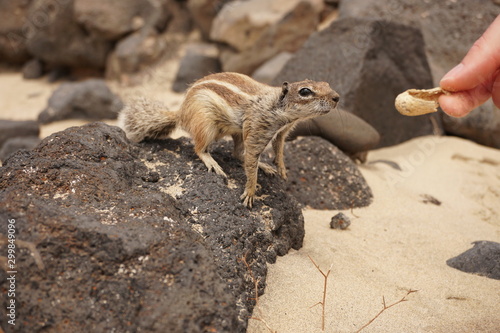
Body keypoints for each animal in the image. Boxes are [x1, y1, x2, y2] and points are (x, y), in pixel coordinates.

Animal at [119, 72, 340, 206]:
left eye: (326, 83)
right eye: (305, 91)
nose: (336, 97)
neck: (277, 110)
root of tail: (181, 113)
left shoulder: (281, 132)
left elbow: (278, 149)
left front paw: (281, 168)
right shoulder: (257, 129)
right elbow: (251, 161)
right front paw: (250, 192)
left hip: (237, 131)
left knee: (237, 153)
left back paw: (265, 166)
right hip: (205, 125)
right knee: (200, 148)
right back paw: (213, 163)